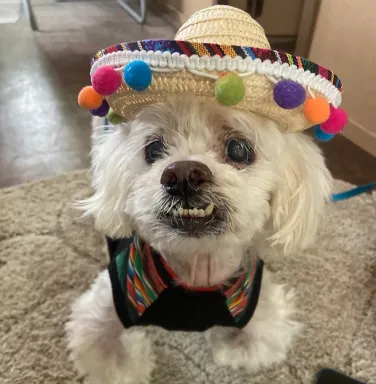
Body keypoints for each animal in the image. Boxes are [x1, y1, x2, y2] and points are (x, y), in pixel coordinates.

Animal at [65, 94, 332, 384]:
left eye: (238, 150)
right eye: (153, 150)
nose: (182, 174)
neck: (198, 267)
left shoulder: (264, 318)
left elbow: (242, 348)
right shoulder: (104, 312)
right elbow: (115, 362)